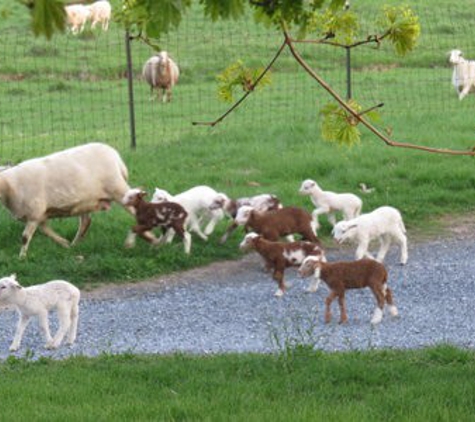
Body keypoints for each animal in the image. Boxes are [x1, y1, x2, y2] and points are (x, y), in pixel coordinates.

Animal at [0, 142, 131, 258]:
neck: (10, 186)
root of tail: (116, 156)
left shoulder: (34, 214)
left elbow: (25, 237)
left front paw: (21, 257)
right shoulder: (39, 216)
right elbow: (47, 231)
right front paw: (64, 244)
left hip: (117, 188)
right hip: (85, 201)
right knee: (86, 221)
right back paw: (75, 244)